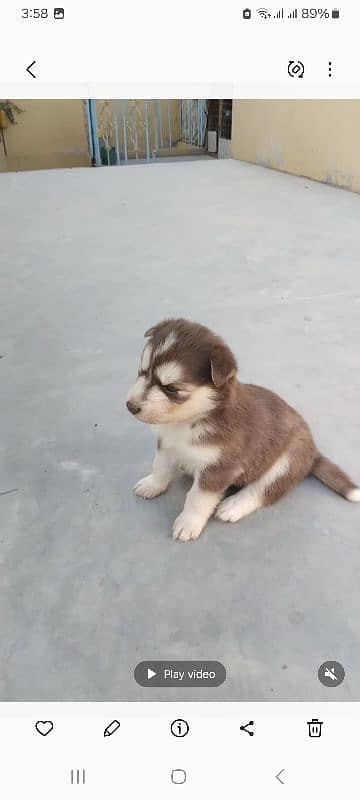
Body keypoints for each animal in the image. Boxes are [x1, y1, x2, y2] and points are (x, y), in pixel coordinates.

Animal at [125, 318, 358, 544]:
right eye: (141, 372)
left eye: (171, 388)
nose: (130, 406)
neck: (190, 420)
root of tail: (314, 452)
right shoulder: (166, 444)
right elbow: (160, 467)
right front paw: (152, 485)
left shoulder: (219, 468)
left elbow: (197, 498)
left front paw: (188, 523)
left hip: (288, 459)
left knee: (263, 489)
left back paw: (233, 505)